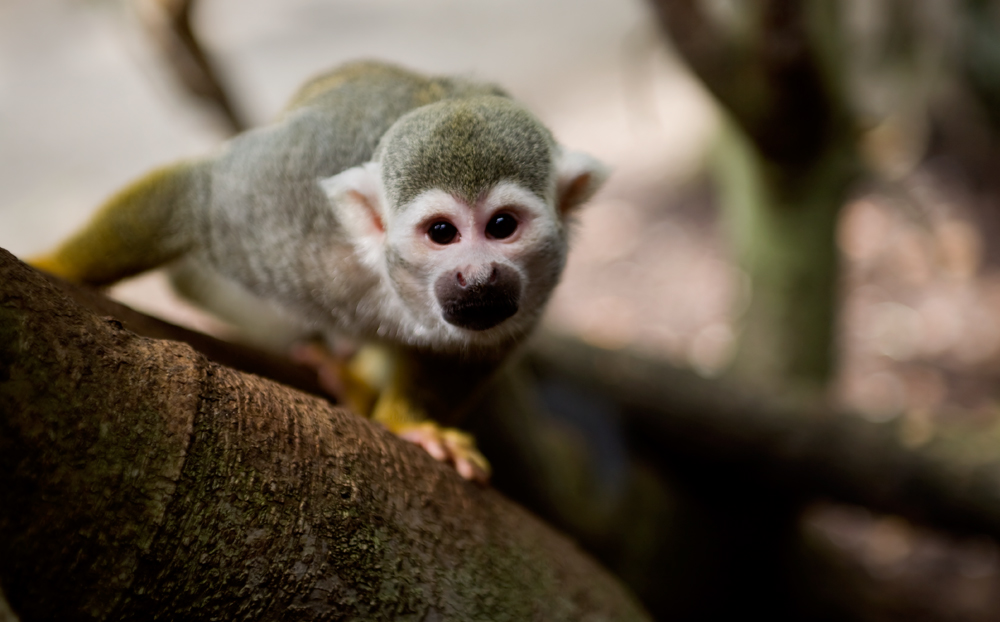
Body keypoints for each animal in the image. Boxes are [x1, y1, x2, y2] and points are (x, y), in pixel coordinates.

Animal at [31, 61, 604, 486]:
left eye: (502, 226)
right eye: (442, 232)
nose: (478, 276)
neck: (385, 278)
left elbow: (477, 351)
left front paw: (413, 423)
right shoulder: (286, 204)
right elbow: (199, 196)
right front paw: (52, 267)